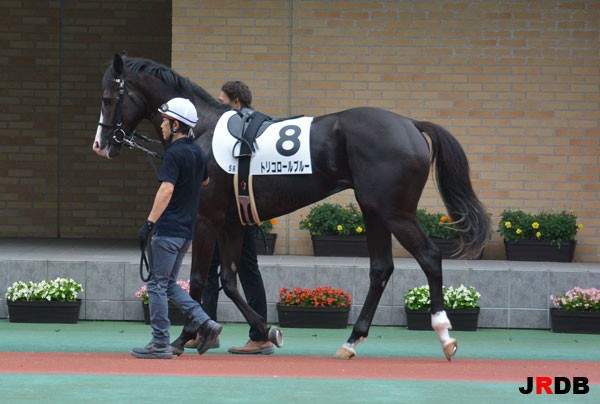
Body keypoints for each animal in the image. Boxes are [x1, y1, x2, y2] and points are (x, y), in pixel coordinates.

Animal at [92, 53, 488, 360]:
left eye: (110, 97)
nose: (101, 145)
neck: (200, 129)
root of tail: (410, 124)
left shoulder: (206, 219)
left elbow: (201, 279)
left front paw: (184, 337)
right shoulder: (232, 222)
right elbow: (230, 280)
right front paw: (265, 331)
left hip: (395, 212)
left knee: (429, 257)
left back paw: (444, 334)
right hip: (373, 210)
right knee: (380, 269)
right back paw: (351, 341)